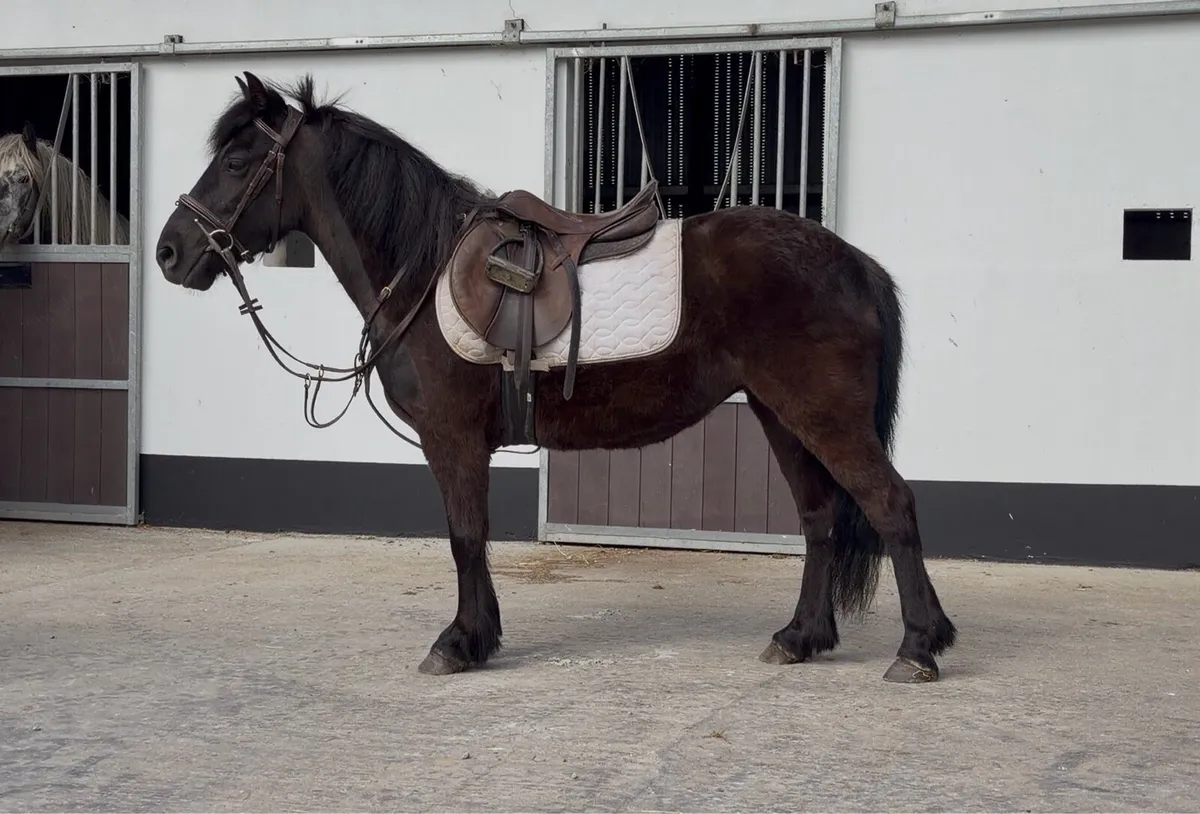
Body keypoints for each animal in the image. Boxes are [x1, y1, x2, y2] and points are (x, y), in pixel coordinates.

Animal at [153, 71, 957, 684]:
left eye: (237, 161)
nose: (168, 251)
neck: (424, 266)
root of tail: (854, 261)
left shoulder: (451, 438)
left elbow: (464, 536)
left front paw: (459, 643)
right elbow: (471, 537)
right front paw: (480, 635)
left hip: (822, 415)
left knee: (890, 506)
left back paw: (919, 648)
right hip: (779, 413)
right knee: (820, 518)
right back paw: (799, 637)